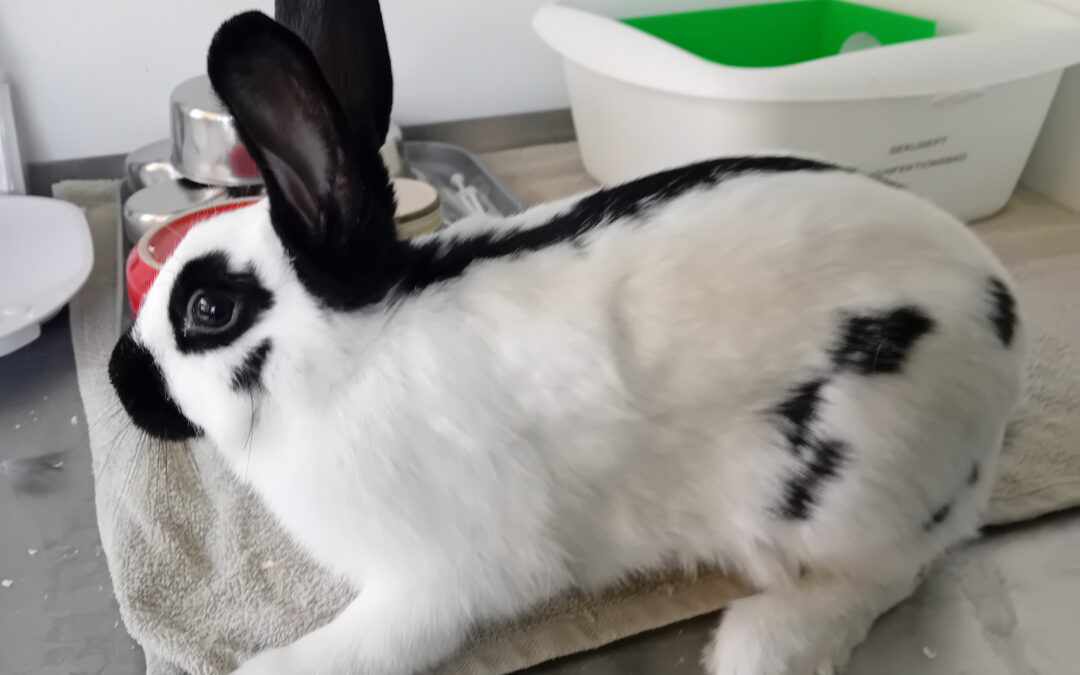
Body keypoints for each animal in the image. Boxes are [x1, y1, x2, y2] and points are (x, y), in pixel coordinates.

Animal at [107, 7, 1025, 675]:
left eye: (209, 310)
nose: (119, 379)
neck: (353, 357)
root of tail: (1002, 315)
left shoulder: (435, 577)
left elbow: (365, 644)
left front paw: (269, 669)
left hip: (858, 478)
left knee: (887, 572)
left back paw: (758, 645)